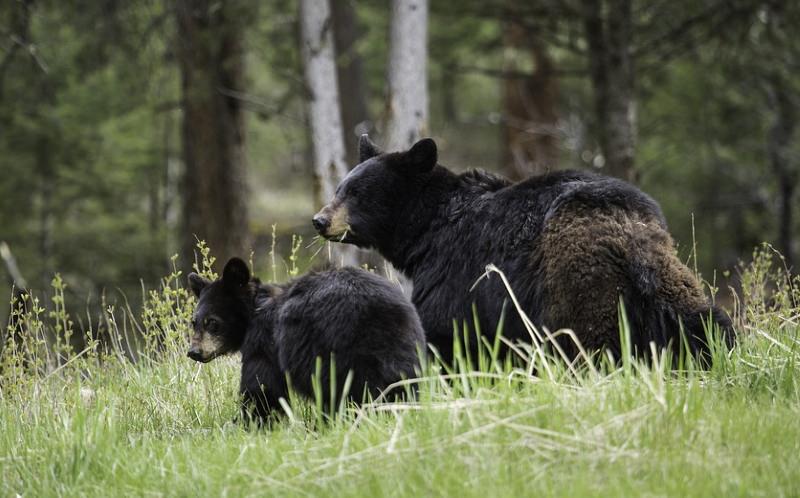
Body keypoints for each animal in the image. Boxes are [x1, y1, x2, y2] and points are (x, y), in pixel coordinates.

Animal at [188, 256, 424, 424]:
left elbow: (263, 388)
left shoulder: (265, 341)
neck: (256, 308)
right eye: (194, 322)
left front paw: (244, 422)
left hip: (331, 351)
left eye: (212, 322)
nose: (194, 352)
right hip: (406, 346)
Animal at [310, 136, 732, 366]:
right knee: (703, 322)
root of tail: (630, 238)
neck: (427, 229)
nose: (319, 220)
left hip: (578, 283)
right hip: (670, 282)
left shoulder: (456, 271)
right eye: (340, 188)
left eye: (358, 193)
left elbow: (446, 331)